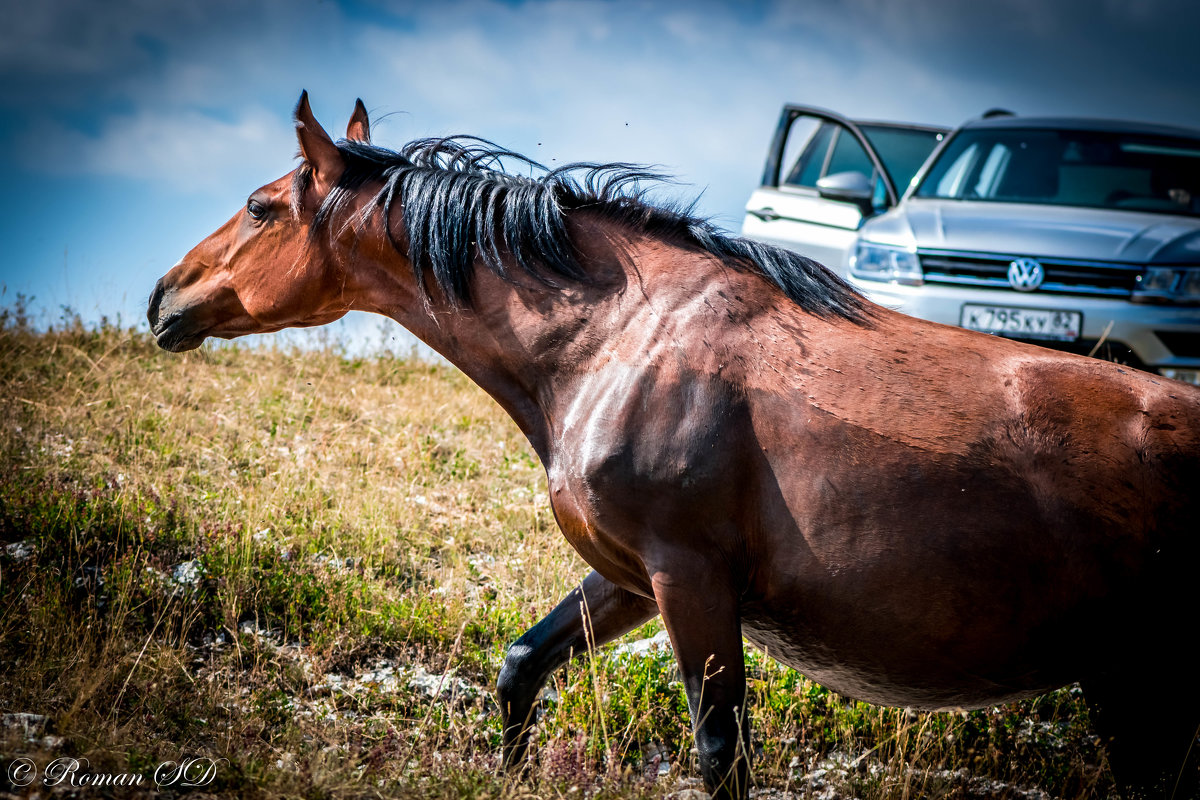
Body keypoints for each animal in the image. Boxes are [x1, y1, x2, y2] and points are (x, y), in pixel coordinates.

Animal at [150, 95, 1200, 800]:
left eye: (260, 207)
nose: (164, 295)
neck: (622, 338)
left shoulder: (690, 580)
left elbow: (719, 753)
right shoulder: (628, 575)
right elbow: (523, 665)